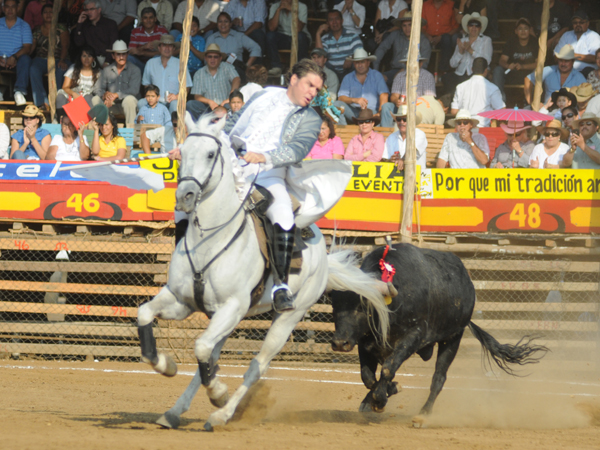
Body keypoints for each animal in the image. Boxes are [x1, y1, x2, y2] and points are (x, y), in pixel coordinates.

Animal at [136, 113, 393, 430]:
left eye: (210, 154)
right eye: (181, 152)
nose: (185, 196)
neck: (211, 240)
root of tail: (321, 252)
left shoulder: (231, 307)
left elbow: (202, 348)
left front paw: (218, 394)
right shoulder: (182, 301)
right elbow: (147, 315)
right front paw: (166, 365)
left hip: (286, 318)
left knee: (256, 366)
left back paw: (221, 412)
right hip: (230, 319)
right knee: (213, 356)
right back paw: (175, 412)